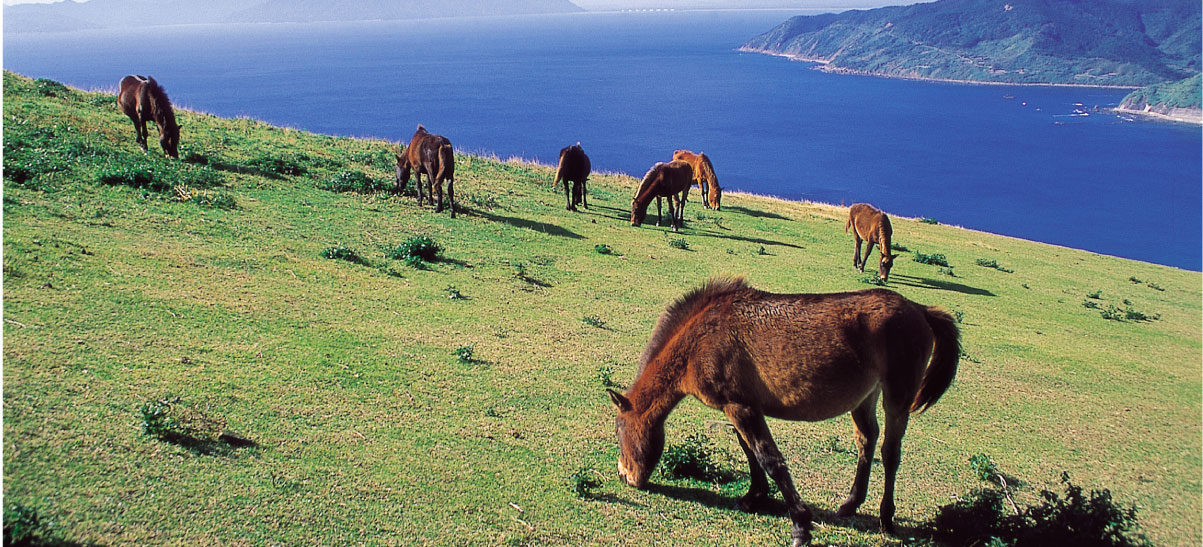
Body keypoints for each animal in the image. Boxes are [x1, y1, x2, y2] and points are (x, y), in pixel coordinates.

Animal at [611, 278, 957, 547]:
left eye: (618, 431)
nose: (625, 475)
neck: (703, 337)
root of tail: (919, 309)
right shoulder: (740, 406)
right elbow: (750, 452)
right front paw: (754, 497)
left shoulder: (740, 406)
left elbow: (770, 460)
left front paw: (800, 526)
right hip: (865, 397)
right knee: (866, 441)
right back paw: (850, 504)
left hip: (897, 396)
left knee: (890, 452)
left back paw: (886, 518)